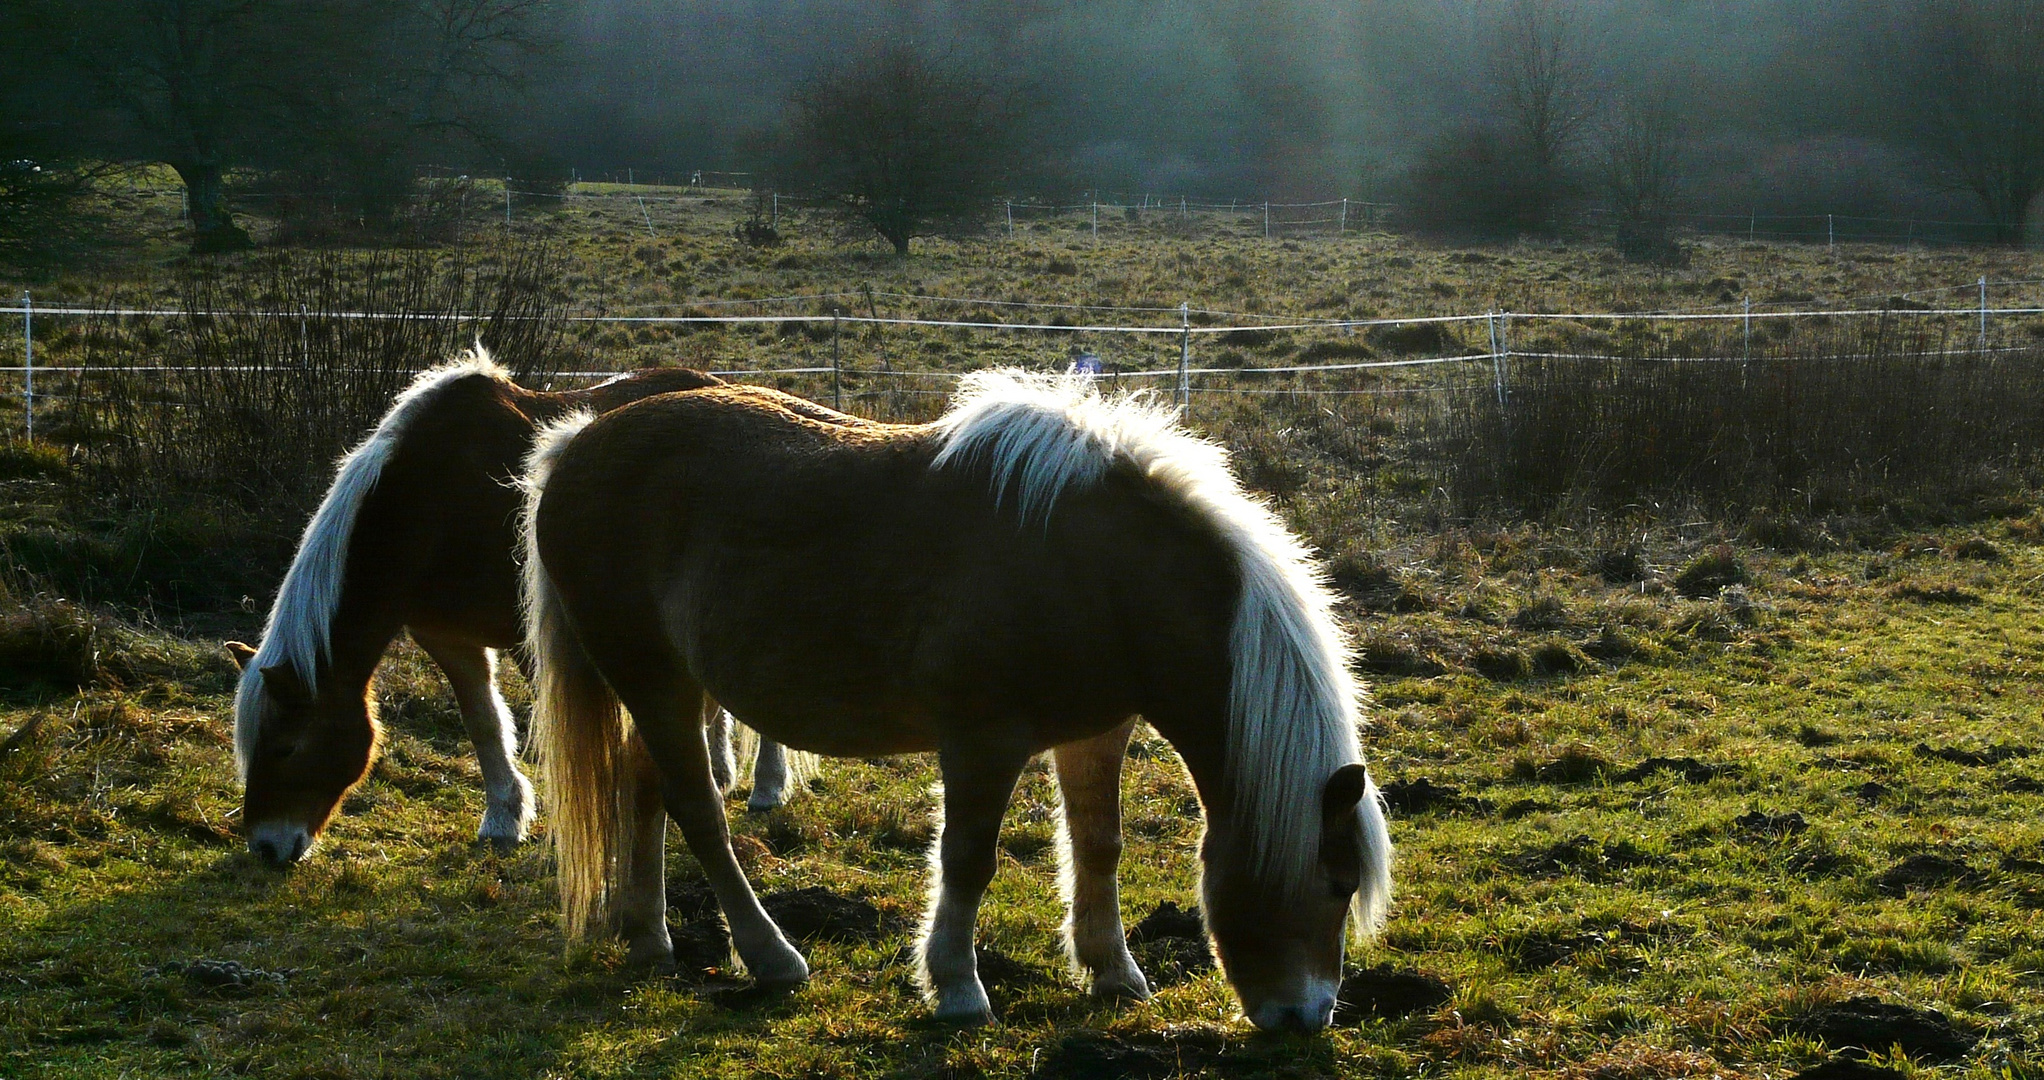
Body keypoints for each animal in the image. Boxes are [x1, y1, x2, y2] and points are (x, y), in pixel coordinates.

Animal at [217, 355, 805, 875]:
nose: (266, 847)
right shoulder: (446, 636)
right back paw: (721, 768)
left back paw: (767, 784)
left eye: (287, 747)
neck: (436, 502)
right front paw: (504, 818)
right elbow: (482, 723)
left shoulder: (536, 637)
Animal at [519, 372, 1398, 1030]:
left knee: (645, 791)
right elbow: (969, 859)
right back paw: (771, 958)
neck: (1100, 571)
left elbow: (1100, 845)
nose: (1308, 1017)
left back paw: (648, 937)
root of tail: (576, 444)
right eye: (1336, 882)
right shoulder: (983, 741)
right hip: (654, 681)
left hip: (672, 688)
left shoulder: (1097, 731)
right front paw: (957, 987)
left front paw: (1113, 972)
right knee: (698, 810)